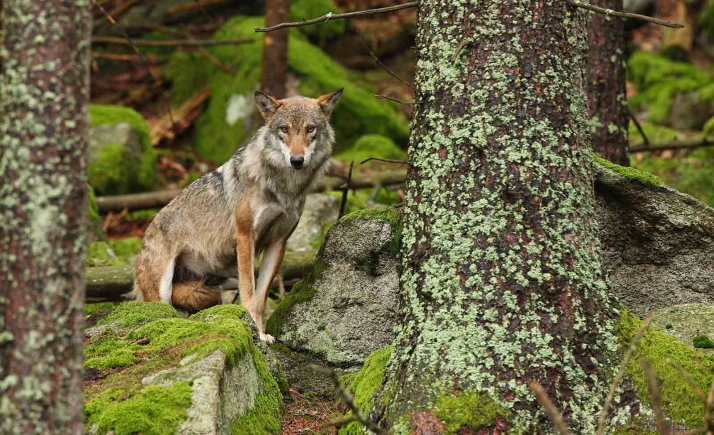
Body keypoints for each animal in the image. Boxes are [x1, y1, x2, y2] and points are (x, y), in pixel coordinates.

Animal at [133, 88, 343, 342]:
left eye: (310, 128)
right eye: (284, 129)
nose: (297, 160)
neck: (285, 188)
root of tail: (145, 237)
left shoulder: (278, 242)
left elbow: (260, 298)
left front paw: (262, 334)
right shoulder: (245, 236)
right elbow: (249, 293)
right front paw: (255, 334)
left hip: (212, 286)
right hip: (163, 289)